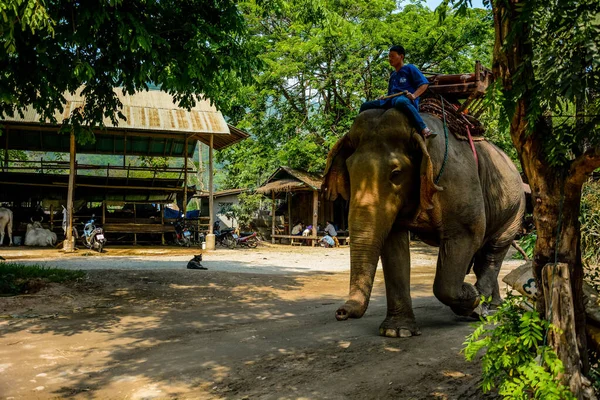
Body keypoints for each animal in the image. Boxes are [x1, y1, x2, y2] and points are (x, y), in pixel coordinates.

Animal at [324, 106, 524, 338]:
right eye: (349, 171)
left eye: (396, 173)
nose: (341, 312)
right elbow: (394, 246)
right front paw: (397, 332)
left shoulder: (456, 181)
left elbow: (466, 235)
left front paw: (471, 296)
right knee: (484, 255)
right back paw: (490, 305)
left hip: (516, 209)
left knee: (494, 250)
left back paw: (482, 308)